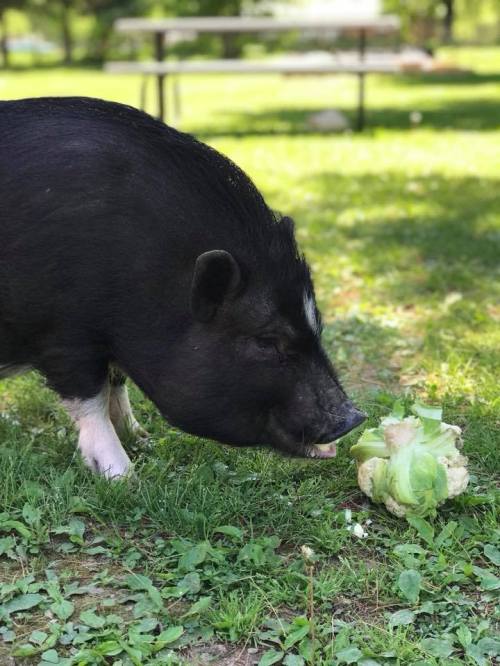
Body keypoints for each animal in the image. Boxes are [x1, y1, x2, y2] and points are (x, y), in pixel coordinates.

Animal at [0, 97, 365, 478]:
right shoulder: (64, 336)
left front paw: (143, 440)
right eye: (266, 340)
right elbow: (91, 403)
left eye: (317, 325)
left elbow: (117, 384)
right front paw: (125, 478)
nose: (353, 418)